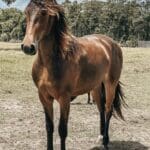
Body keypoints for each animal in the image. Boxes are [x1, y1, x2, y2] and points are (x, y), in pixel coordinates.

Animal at [20, 0, 125, 149]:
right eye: (26, 12)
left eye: (44, 13)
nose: (28, 47)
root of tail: (111, 43)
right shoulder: (44, 97)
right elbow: (49, 127)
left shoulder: (64, 98)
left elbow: (62, 130)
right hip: (96, 87)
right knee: (101, 109)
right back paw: (100, 137)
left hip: (111, 84)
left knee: (108, 110)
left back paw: (105, 141)